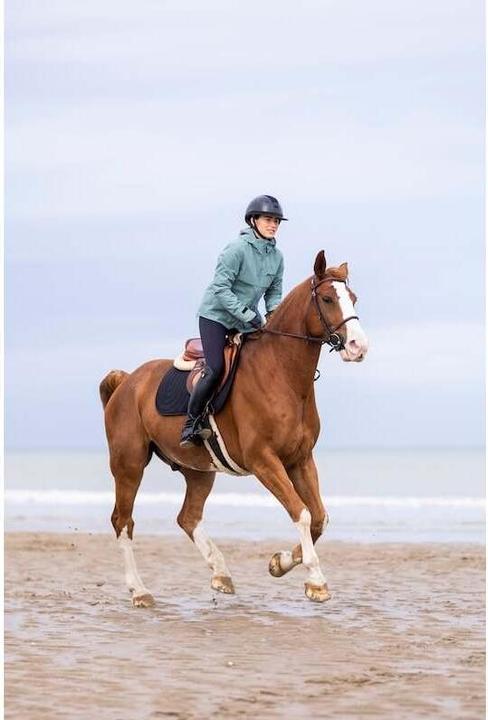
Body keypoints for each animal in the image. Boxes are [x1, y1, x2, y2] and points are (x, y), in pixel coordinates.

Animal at [99, 250, 368, 606]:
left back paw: (220, 573)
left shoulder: (300, 459)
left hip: (198, 470)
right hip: (129, 464)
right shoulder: (264, 461)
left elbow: (318, 517)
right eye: (327, 299)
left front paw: (279, 563)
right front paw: (316, 581)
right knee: (123, 521)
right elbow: (302, 513)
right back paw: (140, 590)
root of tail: (127, 381)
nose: (358, 347)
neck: (281, 374)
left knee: (188, 517)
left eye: (352, 298)